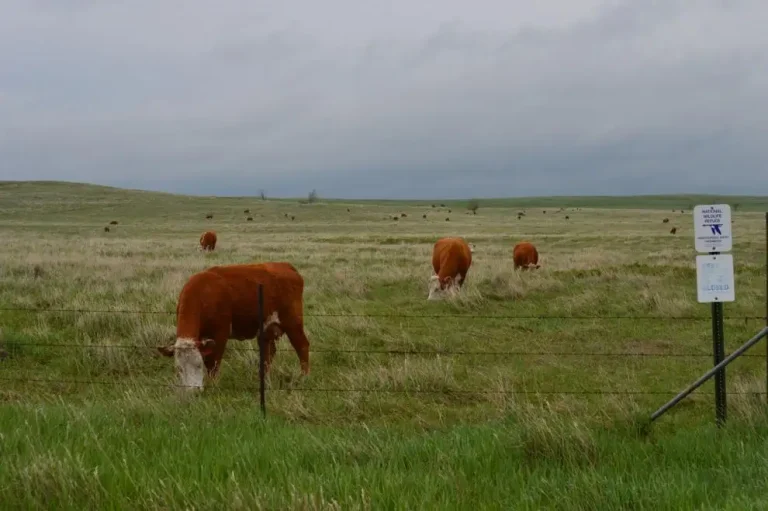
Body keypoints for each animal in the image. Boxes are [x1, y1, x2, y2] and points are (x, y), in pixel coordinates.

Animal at [157, 262, 311, 392]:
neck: (203, 292)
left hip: (292, 322)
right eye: (179, 369)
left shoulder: (220, 334)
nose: (192, 391)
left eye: (198, 364)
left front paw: (213, 386)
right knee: (269, 353)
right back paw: (264, 380)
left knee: (302, 346)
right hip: (266, 329)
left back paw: (303, 378)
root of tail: (286, 265)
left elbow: (213, 363)